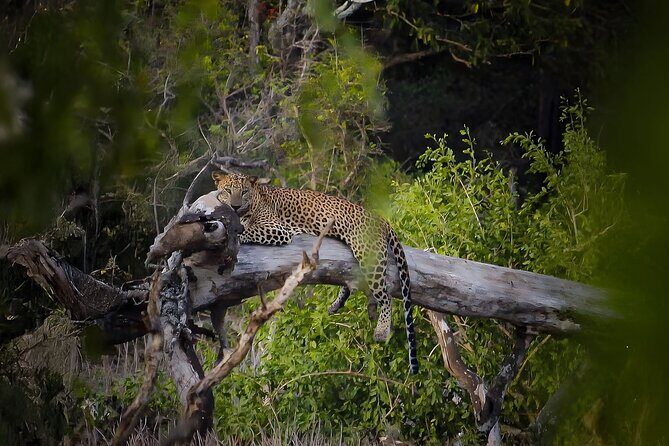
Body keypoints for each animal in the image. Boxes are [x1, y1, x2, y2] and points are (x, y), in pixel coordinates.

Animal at [212, 172, 418, 374]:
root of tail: (380, 219)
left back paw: (381, 331)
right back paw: (336, 305)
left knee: (386, 296)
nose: (235, 206)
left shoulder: (277, 229)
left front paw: (234, 232)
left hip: (369, 254)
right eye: (228, 191)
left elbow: (246, 232)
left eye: (244, 191)